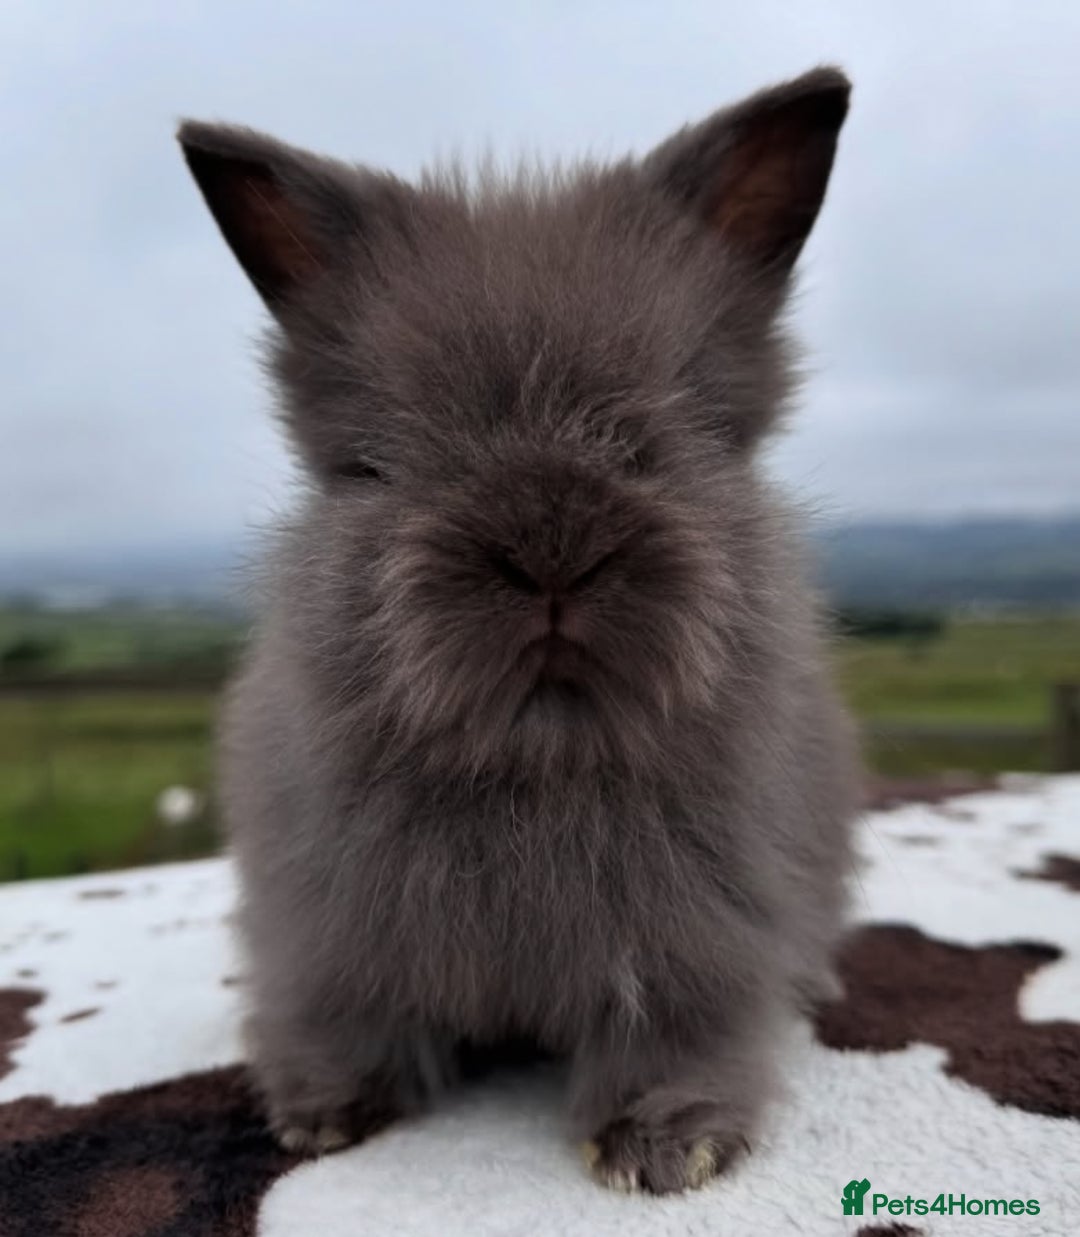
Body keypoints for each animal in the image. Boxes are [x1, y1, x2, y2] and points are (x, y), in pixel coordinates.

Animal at [178, 65, 859, 1195]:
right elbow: (349, 1012)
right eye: (385, 459)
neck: (538, 757)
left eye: (661, 442)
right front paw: (323, 1111)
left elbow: (674, 1035)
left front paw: (662, 1148)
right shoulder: (324, 925)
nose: (550, 550)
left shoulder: (698, 943)